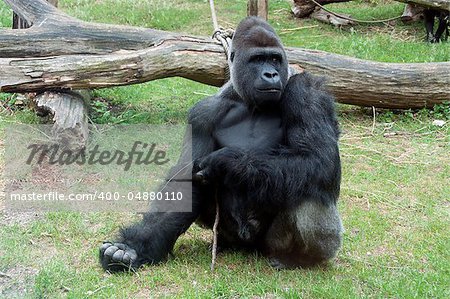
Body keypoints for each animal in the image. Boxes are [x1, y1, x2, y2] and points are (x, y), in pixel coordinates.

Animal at [99, 17, 342, 274]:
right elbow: (186, 180)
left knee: (307, 185)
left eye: (275, 58)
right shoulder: (203, 113)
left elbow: (317, 160)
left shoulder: (309, 92)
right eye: (258, 59)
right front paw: (135, 248)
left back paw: (296, 258)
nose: (271, 74)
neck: (250, 102)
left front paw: (226, 162)